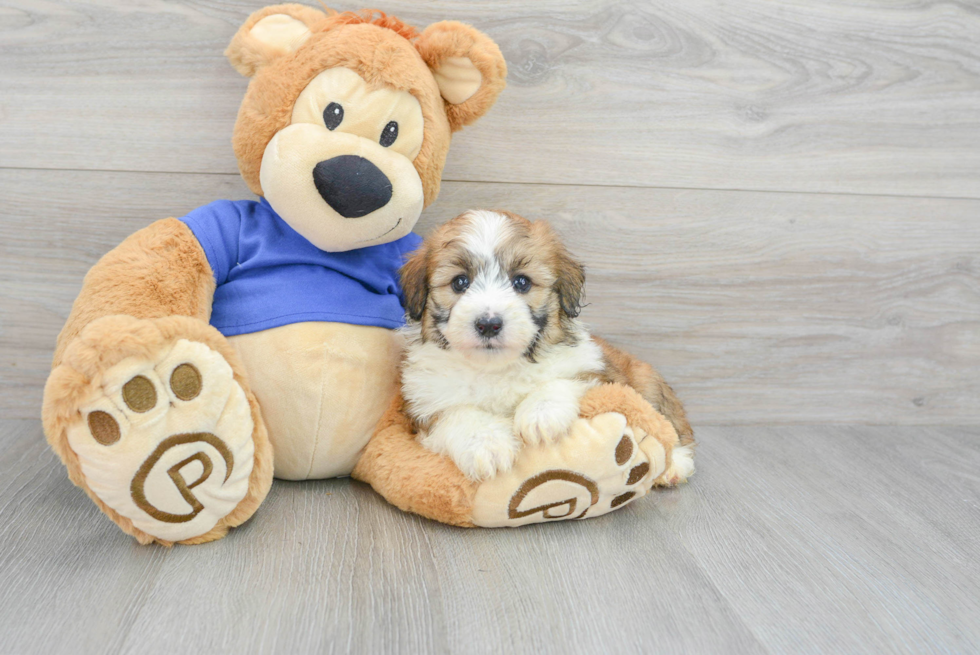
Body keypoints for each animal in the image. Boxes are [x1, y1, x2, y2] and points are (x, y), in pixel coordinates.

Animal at [400, 210, 696, 482]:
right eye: (460, 282)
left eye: (521, 282)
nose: (489, 324)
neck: (497, 368)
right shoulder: (424, 405)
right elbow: (455, 413)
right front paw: (486, 443)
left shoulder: (594, 372)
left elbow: (565, 381)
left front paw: (540, 414)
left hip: (648, 382)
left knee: (669, 424)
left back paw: (677, 463)